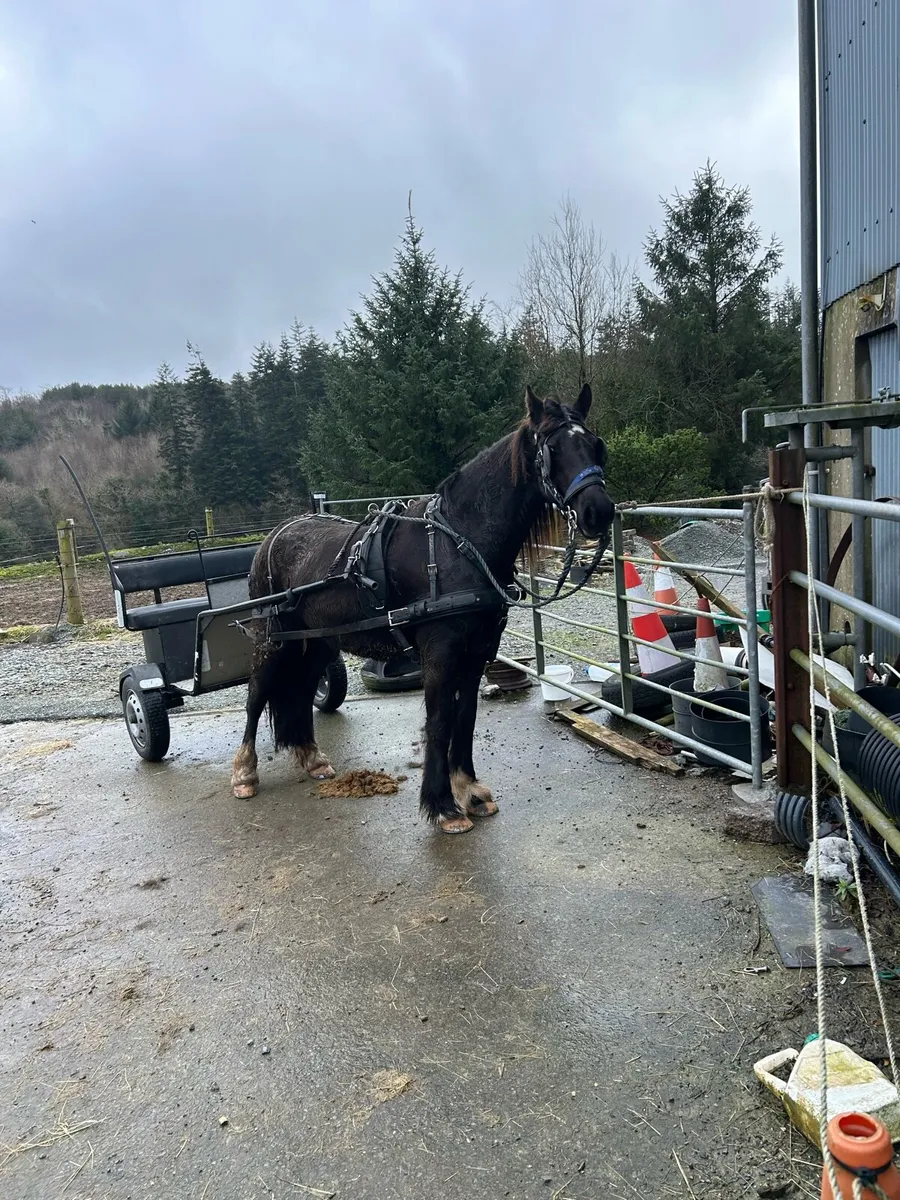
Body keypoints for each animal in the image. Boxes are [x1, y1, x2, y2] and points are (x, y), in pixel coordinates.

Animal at [230, 383, 615, 833]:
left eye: (595, 445)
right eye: (552, 448)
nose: (599, 512)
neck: (459, 542)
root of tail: (275, 535)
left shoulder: (478, 651)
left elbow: (465, 715)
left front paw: (468, 789)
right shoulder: (440, 651)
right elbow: (439, 720)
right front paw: (444, 806)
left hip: (319, 641)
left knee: (304, 687)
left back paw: (312, 757)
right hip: (271, 637)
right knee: (257, 693)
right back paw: (244, 773)